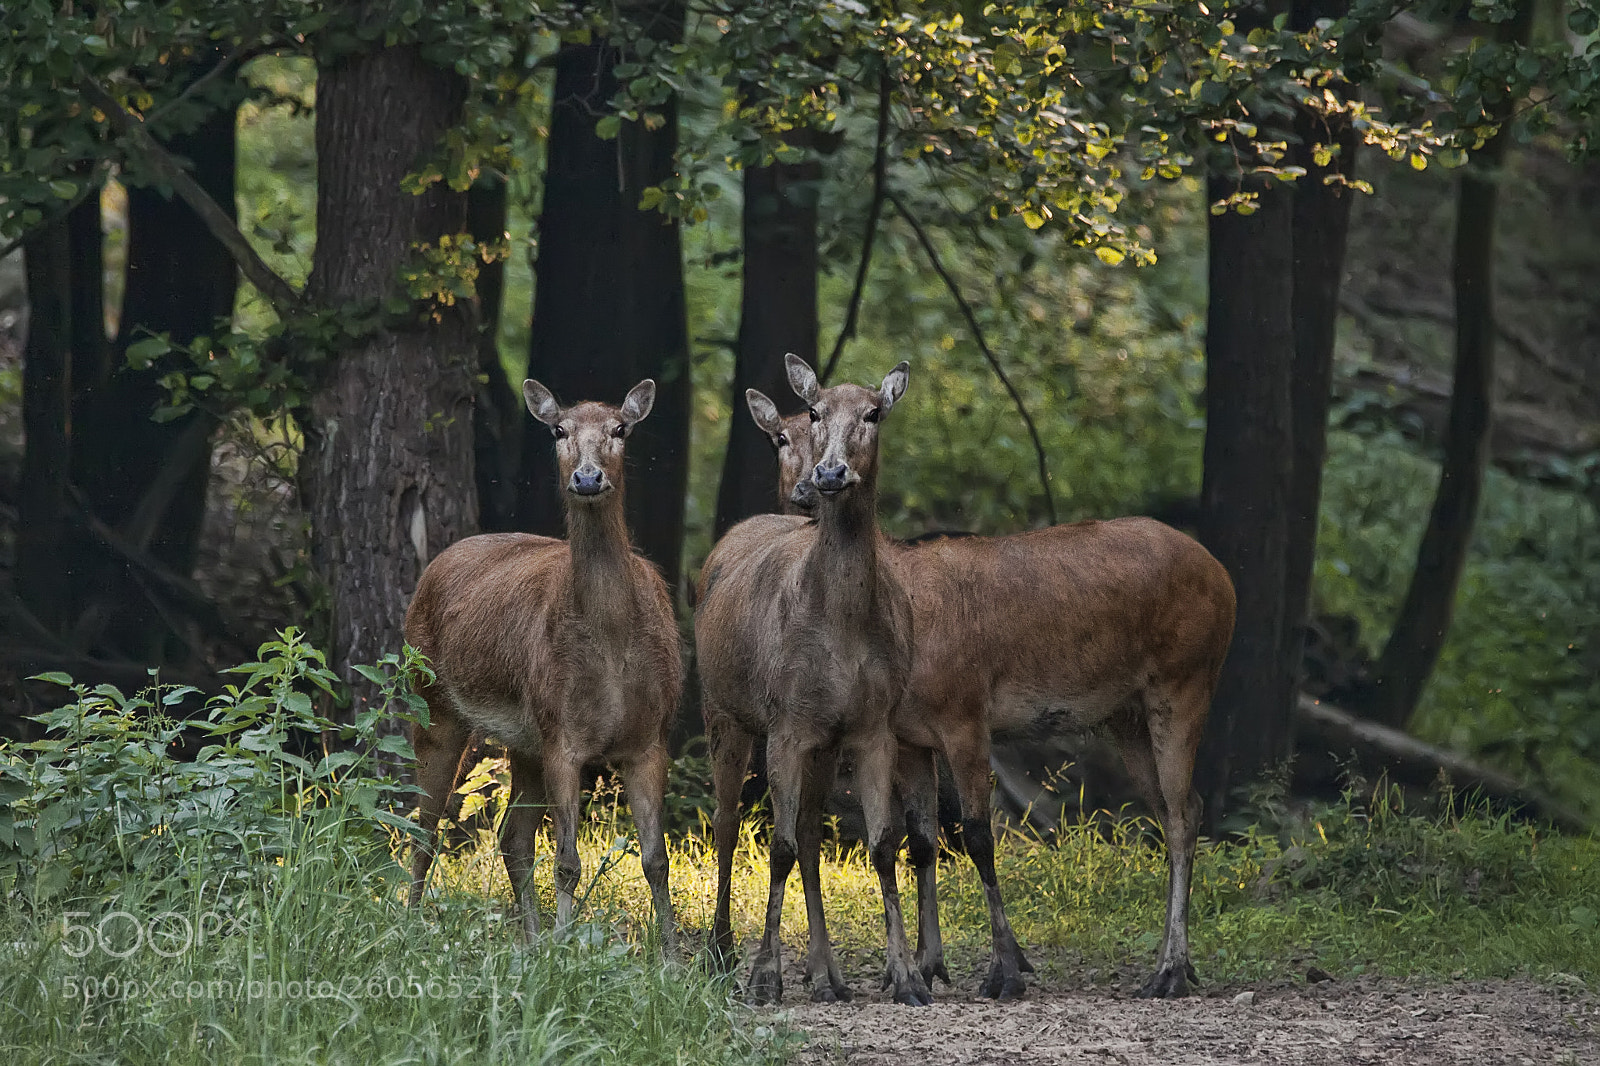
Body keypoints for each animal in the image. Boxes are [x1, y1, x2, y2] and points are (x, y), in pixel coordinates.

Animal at [404, 379, 682, 952]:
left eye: (620, 428)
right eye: (559, 430)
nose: (587, 477)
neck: (613, 644)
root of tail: (432, 567)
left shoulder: (651, 739)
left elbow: (656, 859)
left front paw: (672, 957)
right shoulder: (563, 737)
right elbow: (569, 862)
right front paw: (567, 948)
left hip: (523, 739)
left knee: (511, 837)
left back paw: (529, 940)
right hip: (432, 702)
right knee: (426, 824)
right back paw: (410, 923)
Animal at [696, 354, 932, 1006]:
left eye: (874, 413)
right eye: (816, 411)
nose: (827, 474)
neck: (843, 628)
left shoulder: (874, 725)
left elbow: (881, 844)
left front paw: (906, 977)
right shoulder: (786, 722)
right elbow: (774, 847)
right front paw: (765, 977)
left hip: (824, 744)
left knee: (806, 832)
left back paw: (828, 975)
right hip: (720, 709)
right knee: (727, 823)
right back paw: (722, 951)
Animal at [744, 384, 1237, 1000]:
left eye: (871, 414)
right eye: (785, 432)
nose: (816, 482)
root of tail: (1227, 580)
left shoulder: (965, 710)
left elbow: (978, 835)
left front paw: (1004, 968)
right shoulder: (911, 733)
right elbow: (923, 839)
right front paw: (925, 963)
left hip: (1186, 679)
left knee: (1183, 811)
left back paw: (1171, 968)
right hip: (1127, 714)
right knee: (1176, 808)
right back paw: (1176, 964)